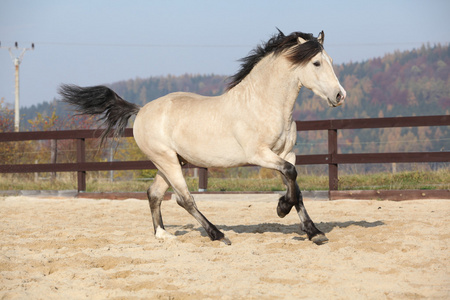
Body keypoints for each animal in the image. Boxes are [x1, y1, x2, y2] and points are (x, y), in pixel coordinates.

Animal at [59, 29, 346, 245]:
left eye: (331, 60)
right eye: (316, 63)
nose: (340, 95)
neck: (262, 103)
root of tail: (141, 111)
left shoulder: (286, 153)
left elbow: (295, 185)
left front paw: (312, 231)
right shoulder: (260, 155)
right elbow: (290, 176)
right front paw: (283, 209)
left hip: (171, 162)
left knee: (154, 193)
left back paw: (163, 234)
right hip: (167, 161)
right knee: (183, 198)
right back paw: (218, 235)